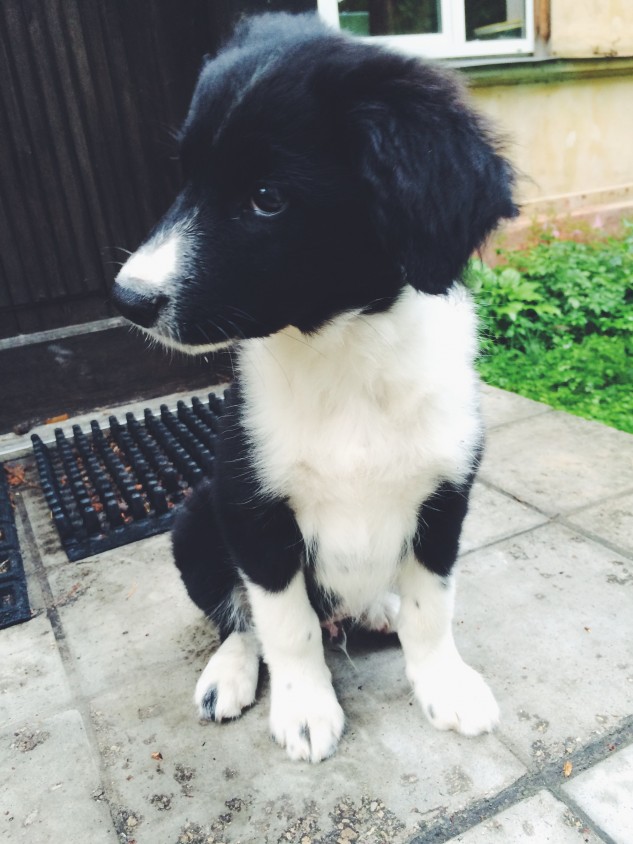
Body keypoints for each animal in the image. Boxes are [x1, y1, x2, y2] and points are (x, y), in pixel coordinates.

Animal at [112, 12, 517, 763]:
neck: (342, 352)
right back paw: (230, 673)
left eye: (267, 198)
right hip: (195, 519)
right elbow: (284, 621)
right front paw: (304, 709)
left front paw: (444, 683)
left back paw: (378, 608)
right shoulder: (253, 509)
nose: (127, 299)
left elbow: (432, 606)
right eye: (185, 177)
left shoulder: (444, 498)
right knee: (238, 620)